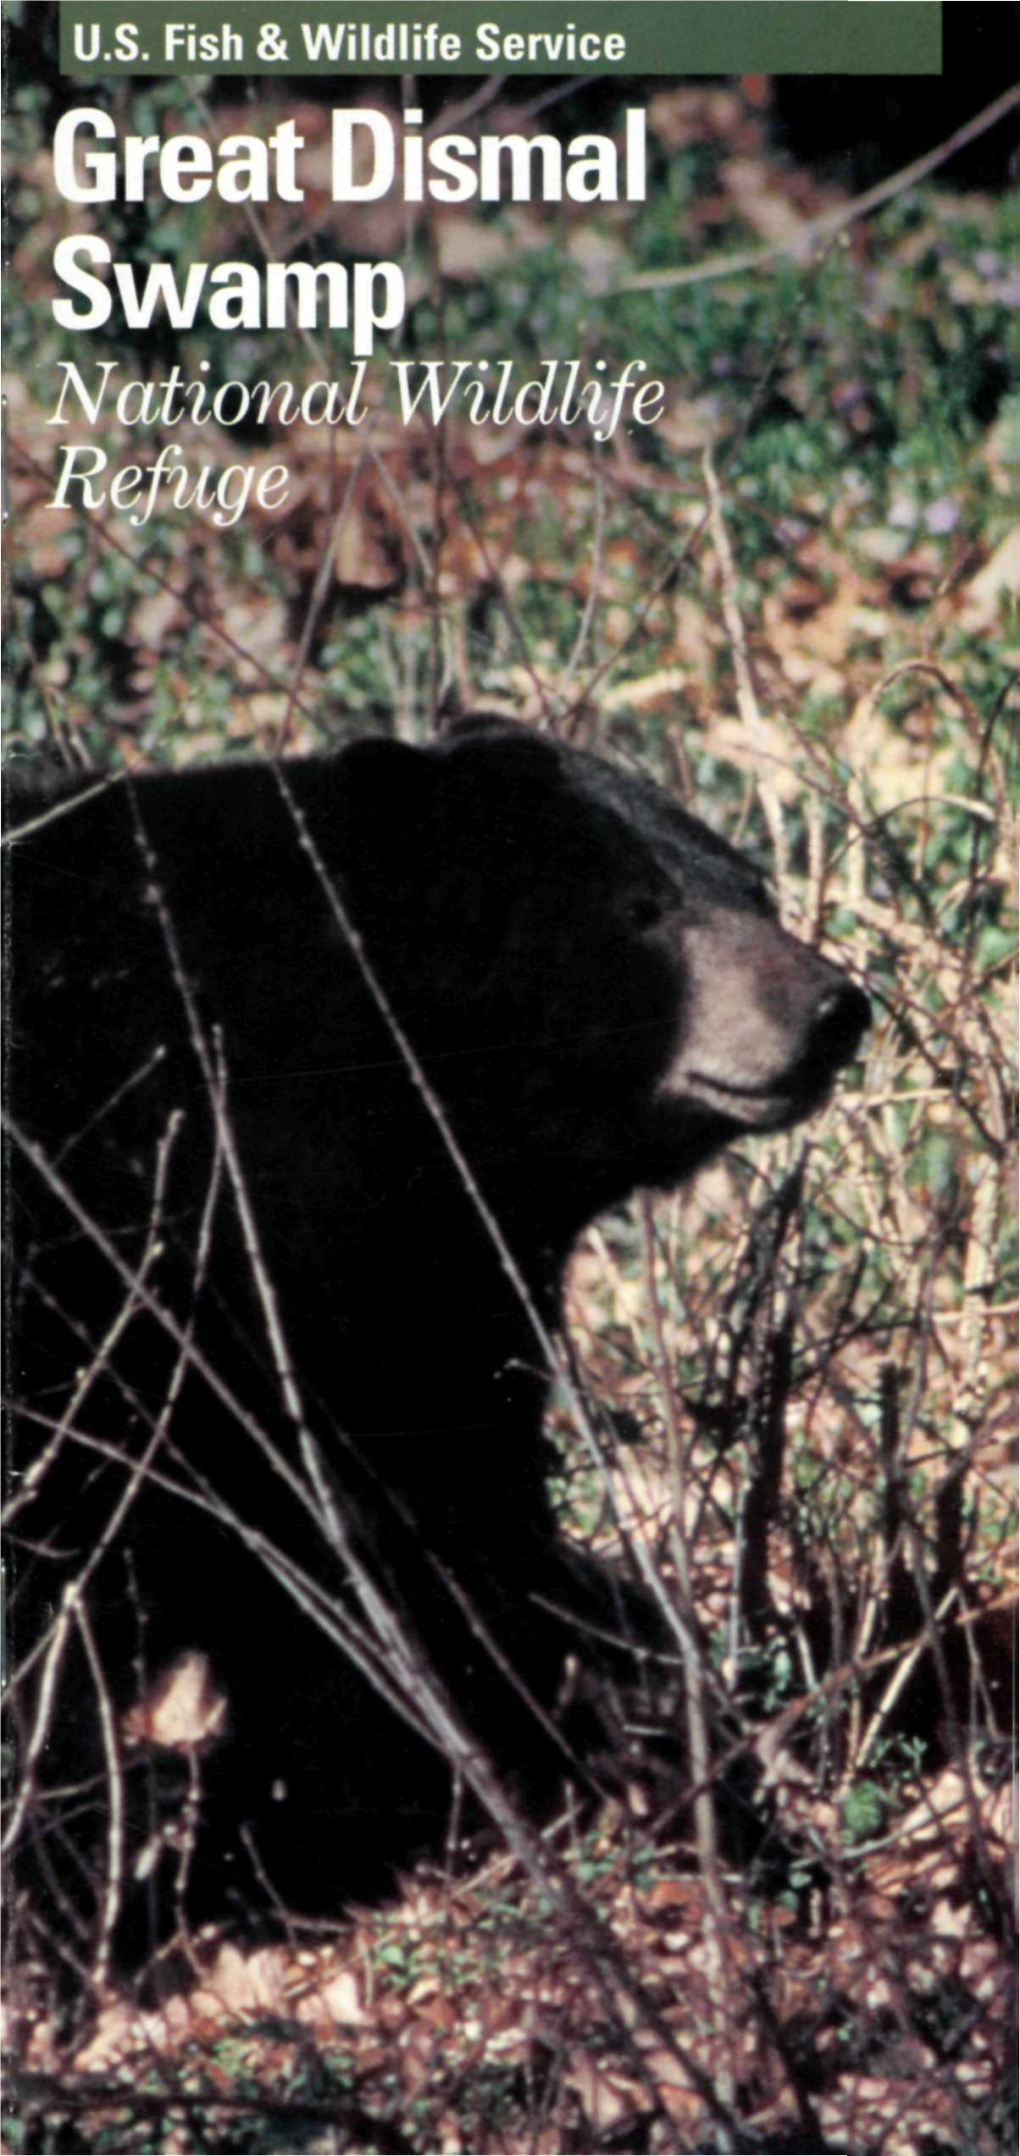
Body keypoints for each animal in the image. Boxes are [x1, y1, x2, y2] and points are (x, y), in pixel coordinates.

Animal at [1, 724, 866, 1983]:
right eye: (641, 908)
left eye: (749, 882)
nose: (834, 1003)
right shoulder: (210, 1289)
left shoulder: (422, 1280)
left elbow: (455, 1538)